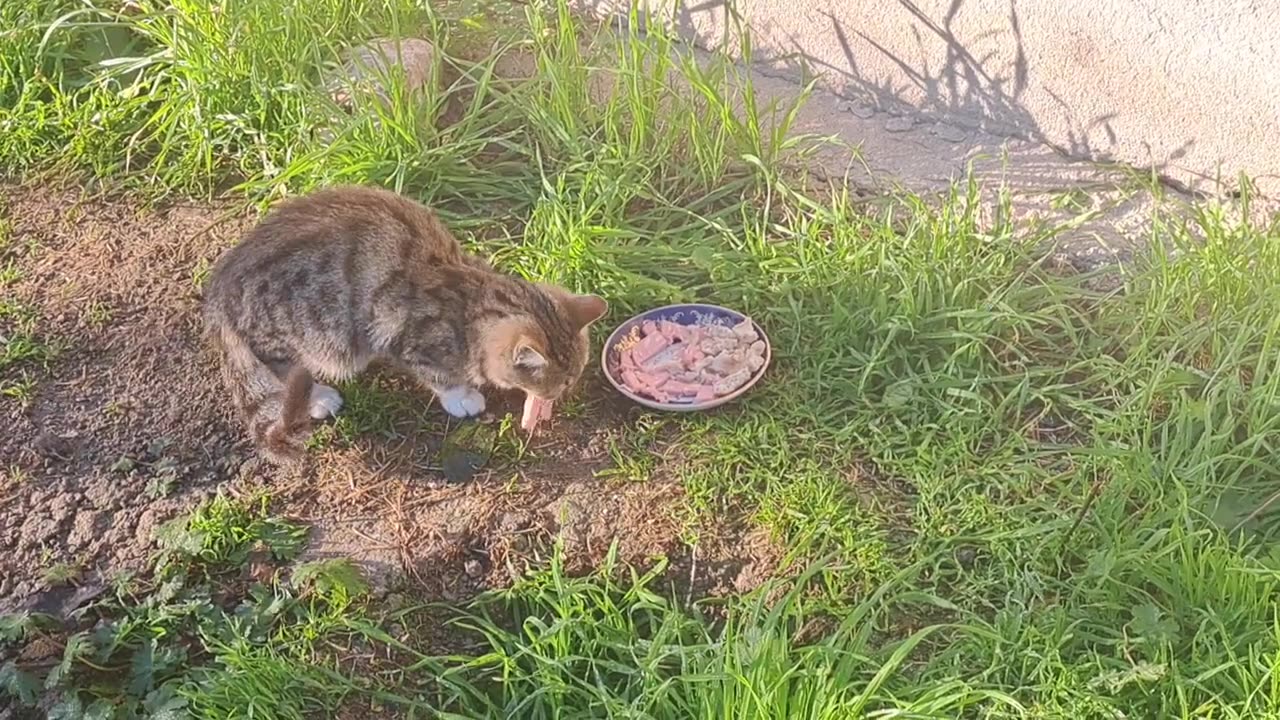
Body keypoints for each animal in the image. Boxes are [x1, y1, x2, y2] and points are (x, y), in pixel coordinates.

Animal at [200, 184, 609, 461]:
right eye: (564, 381)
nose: (559, 396)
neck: (471, 299)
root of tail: (217, 290)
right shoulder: (404, 336)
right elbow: (440, 375)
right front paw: (462, 397)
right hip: (309, 332)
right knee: (281, 366)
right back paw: (318, 396)